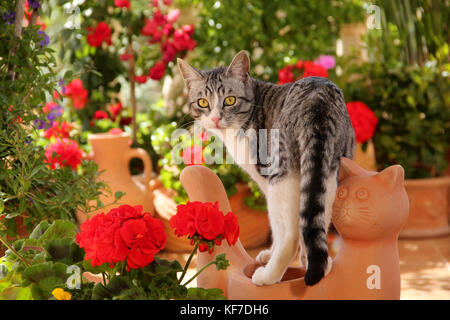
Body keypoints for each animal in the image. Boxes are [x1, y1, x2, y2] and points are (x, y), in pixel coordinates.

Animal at [176, 51, 356, 286]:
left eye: (230, 100)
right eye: (203, 102)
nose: (215, 118)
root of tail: (318, 101)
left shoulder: (264, 177)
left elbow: (280, 229)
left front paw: (272, 255)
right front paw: (306, 260)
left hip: (280, 174)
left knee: (288, 234)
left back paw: (268, 275)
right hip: (328, 170)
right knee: (316, 215)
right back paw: (320, 265)